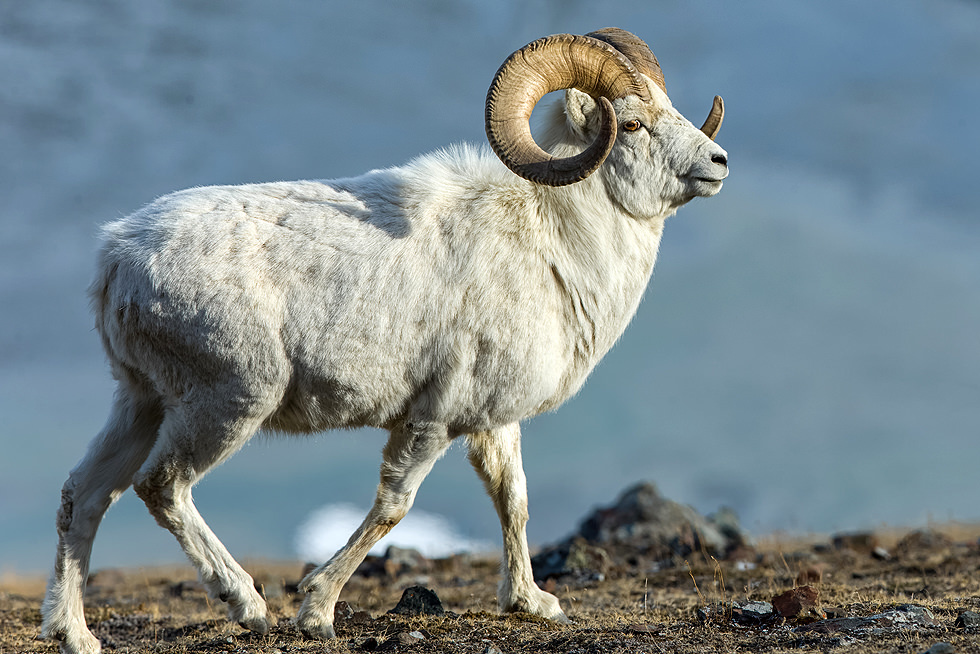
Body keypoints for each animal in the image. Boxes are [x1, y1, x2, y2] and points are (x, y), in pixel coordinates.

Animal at [42, 28, 728, 653]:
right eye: (632, 123)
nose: (718, 164)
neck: (553, 241)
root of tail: (117, 256)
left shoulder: (492, 423)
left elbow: (514, 499)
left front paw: (534, 603)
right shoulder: (431, 420)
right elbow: (393, 508)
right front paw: (315, 613)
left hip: (142, 402)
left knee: (85, 494)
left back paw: (76, 635)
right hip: (227, 403)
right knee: (162, 487)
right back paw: (249, 606)